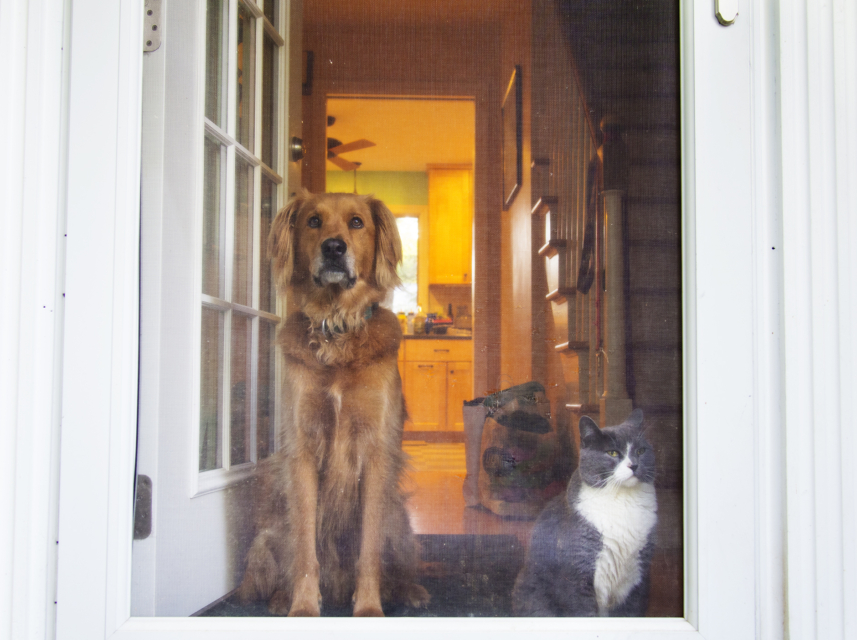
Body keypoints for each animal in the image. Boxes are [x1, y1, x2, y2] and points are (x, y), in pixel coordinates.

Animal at [237, 191, 430, 617]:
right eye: (313, 221)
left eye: (357, 222)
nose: (334, 248)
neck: (336, 329)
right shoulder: (304, 451)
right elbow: (306, 549)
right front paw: (303, 607)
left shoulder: (375, 452)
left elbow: (368, 549)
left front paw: (369, 608)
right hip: (272, 529)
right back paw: (280, 598)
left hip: (397, 519)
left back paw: (409, 590)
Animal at [512, 409, 657, 617]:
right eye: (612, 452)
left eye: (640, 451)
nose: (634, 465)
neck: (622, 500)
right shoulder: (577, 575)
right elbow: (583, 611)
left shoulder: (638, 578)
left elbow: (631, 611)